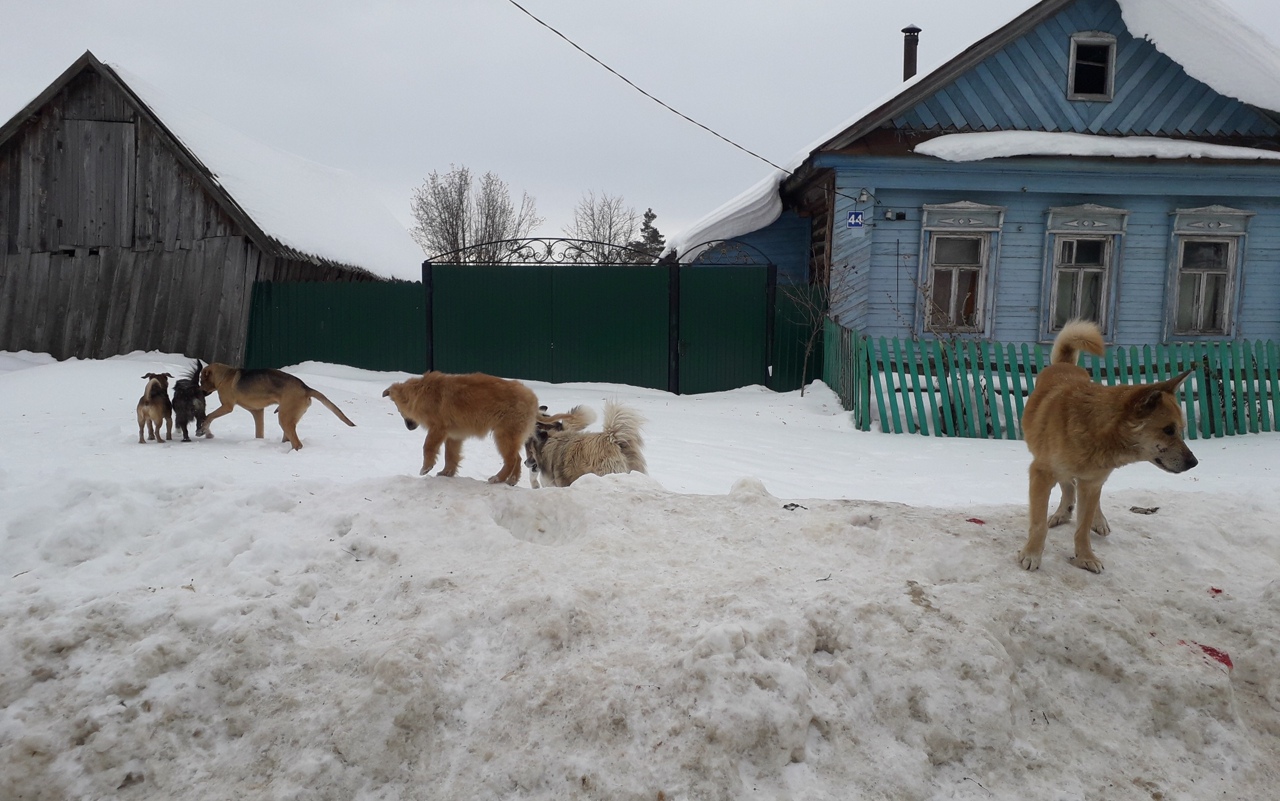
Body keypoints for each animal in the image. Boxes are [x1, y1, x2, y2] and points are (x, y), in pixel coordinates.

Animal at [198, 360, 355, 450]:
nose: (200, 391)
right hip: (287, 418)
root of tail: (305, 388)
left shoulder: (227, 406)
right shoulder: (257, 411)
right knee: (289, 438)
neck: (224, 375)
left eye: (201, 380)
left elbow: (209, 416)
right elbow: (259, 432)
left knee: (297, 444)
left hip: (284, 417)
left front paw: (203, 428)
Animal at [378, 368, 540, 486]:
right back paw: (511, 480)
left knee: (511, 459)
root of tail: (532, 397)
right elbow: (450, 455)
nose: (409, 428)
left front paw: (426, 468)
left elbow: (428, 447)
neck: (421, 391)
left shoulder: (437, 428)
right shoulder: (453, 436)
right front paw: (446, 473)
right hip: (510, 437)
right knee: (517, 458)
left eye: (398, 409)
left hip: (503, 435)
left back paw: (498, 478)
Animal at [1018, 319, 1198, 573]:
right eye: (1168, 430)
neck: (1096, 431)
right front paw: (1032, 554)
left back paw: (1096, 519)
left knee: (1083, 494)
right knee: (1067, 485)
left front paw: (1085, 557)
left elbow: (1082, 528)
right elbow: (1038, 523)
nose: (1194, 462)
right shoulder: (1041, 474)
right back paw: (1063, 513)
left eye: (1180, 429)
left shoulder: (1092, 482)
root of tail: (1065, 365)